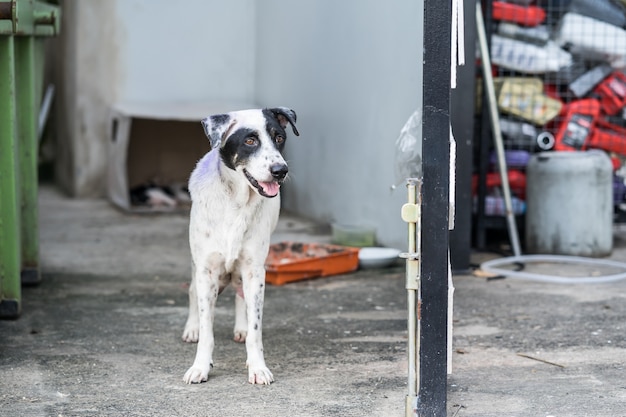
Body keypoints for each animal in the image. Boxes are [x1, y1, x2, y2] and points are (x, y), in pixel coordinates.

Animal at [182, 107, 298, 384]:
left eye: (279, 137)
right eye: (250, 141)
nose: (280, 170)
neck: (236, 200)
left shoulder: (255, 270)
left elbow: (256, 329)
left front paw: (257, 367)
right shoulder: (206, 269)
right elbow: (207, 328)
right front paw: (200, 366)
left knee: (240, 295)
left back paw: (241, 327)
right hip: (196, 264)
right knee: (191, 290)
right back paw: (191, 328)